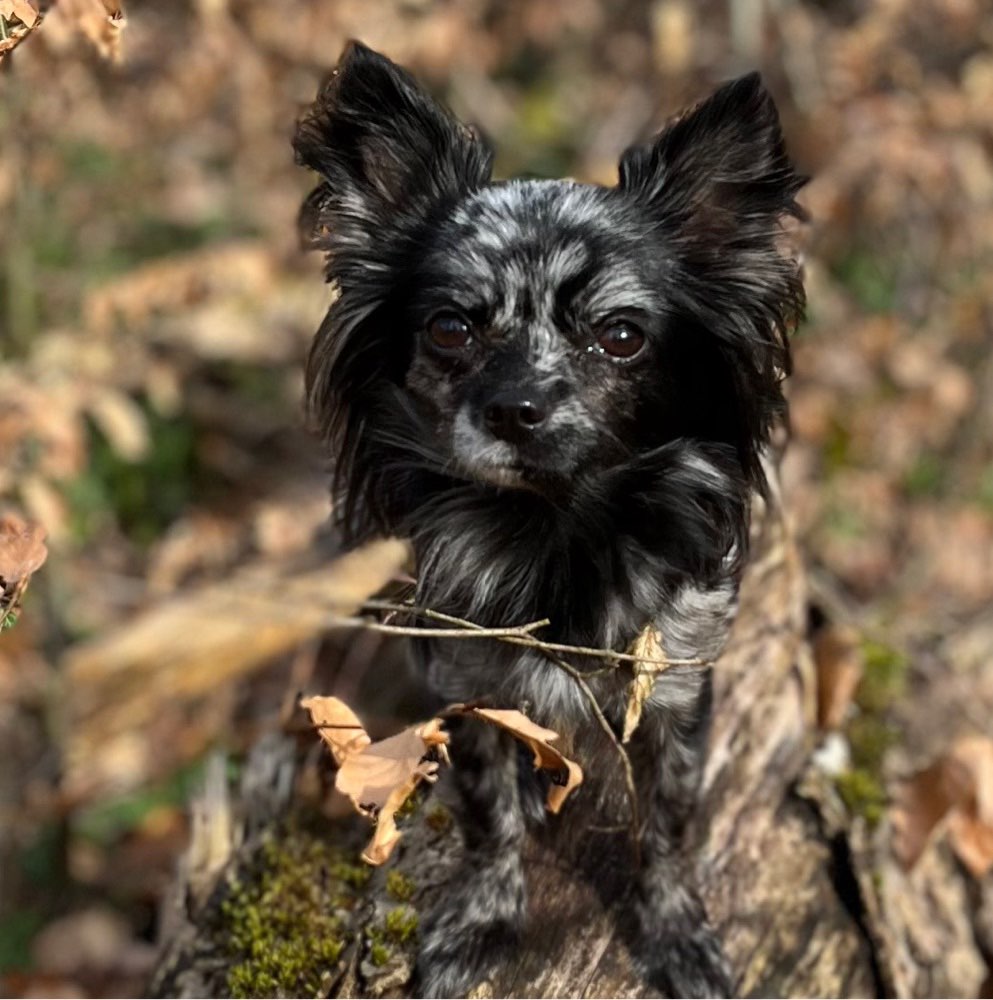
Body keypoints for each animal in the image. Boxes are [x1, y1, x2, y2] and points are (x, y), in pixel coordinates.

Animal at [294, 41, 808, 1000]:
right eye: (450, 329)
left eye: (620, 336)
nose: (514, 409)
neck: (556, 530)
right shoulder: (470, 686)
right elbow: (490, 813)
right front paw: (484, 920)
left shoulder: (671, 693)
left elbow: (664, 831)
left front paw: (674, 933)